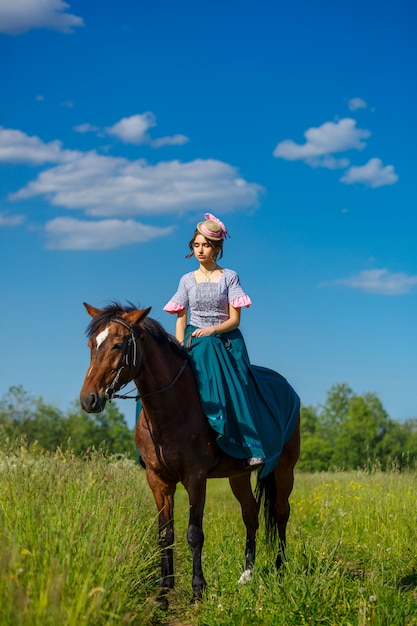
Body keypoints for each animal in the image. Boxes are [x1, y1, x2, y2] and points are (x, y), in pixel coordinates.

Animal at [79, 302, 300, 604]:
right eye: (92, 344)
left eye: (118, 345)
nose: (88, 400)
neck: (172, 409)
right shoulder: (158, 480)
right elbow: (165, 534)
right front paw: (163, 590)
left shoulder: (195, 478)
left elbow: (194, 533)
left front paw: (198, 590)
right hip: (239, 476)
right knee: (251, 514)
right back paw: (247, 574)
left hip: (284, 469)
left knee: (280, 513)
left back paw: (280, 569)